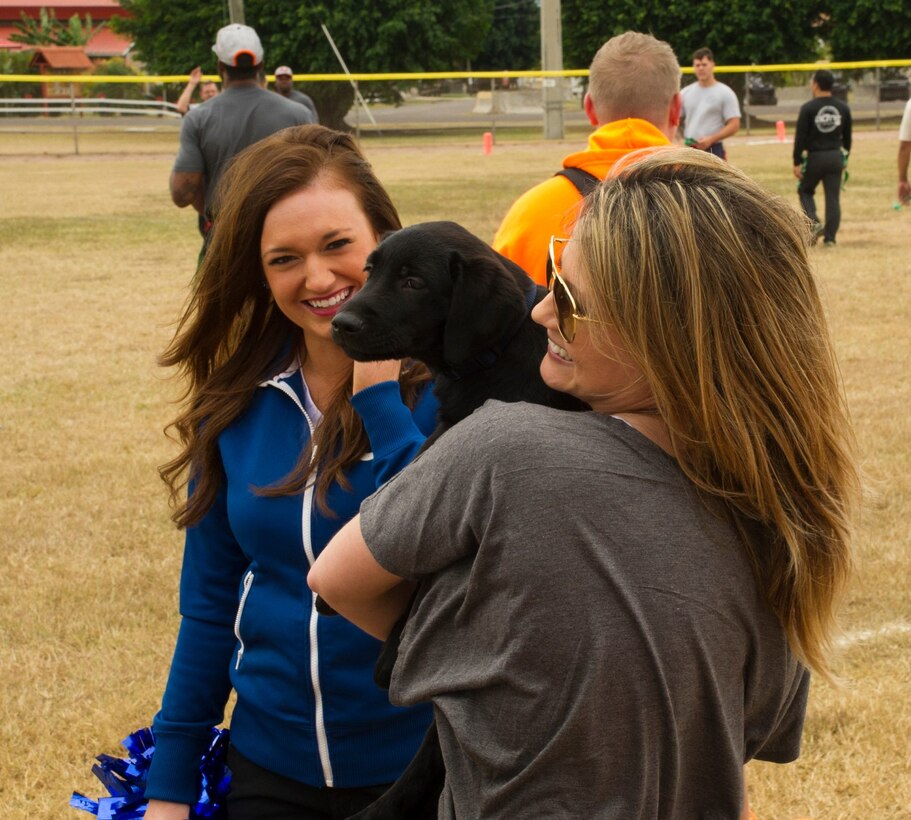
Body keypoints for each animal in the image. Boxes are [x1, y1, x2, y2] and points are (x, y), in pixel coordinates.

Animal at [328, 221, 584, 816]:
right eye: (371, 270)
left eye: (414, 282)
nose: (340, 323)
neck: (495, 356)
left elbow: (431, 570)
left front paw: (393, 647)